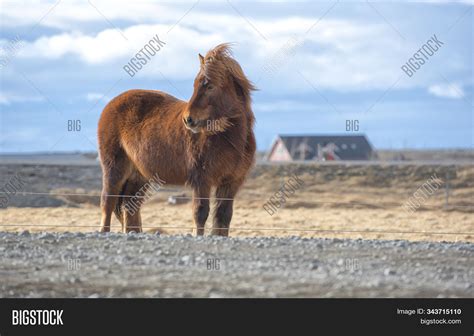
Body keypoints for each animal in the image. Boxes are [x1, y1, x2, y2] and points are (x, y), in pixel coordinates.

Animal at [97, 42, 258, 236]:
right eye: (195, 84)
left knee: (130, 206)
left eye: (210, 86)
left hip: (139, 176)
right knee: (108, 203)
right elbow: (201, 213)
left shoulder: (231, 182)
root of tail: (112, 104)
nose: (188, 119)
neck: (229, 137)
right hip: (114, 169)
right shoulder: (202, 180)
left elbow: (223, 217)